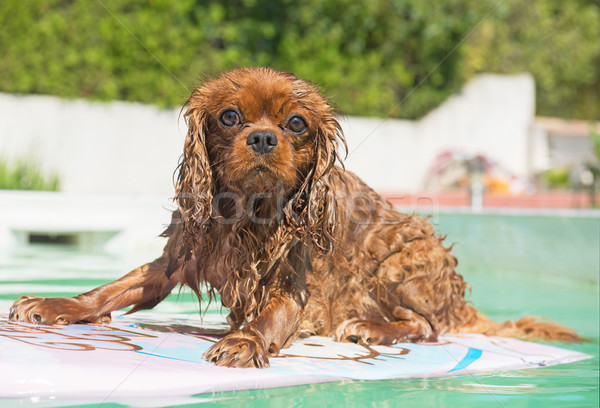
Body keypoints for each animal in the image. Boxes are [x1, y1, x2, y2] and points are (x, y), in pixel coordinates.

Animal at [9, 67, 580, 366]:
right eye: (230, 117)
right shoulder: (177, 259)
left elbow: (271, 317)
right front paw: (56, 304)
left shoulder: (296, 285)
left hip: (405, 255)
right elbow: (112, 289)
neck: (247, 213)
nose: (263, 137)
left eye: (297, 124)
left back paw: (371, 328)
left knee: (428, 326)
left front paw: (243, 340)